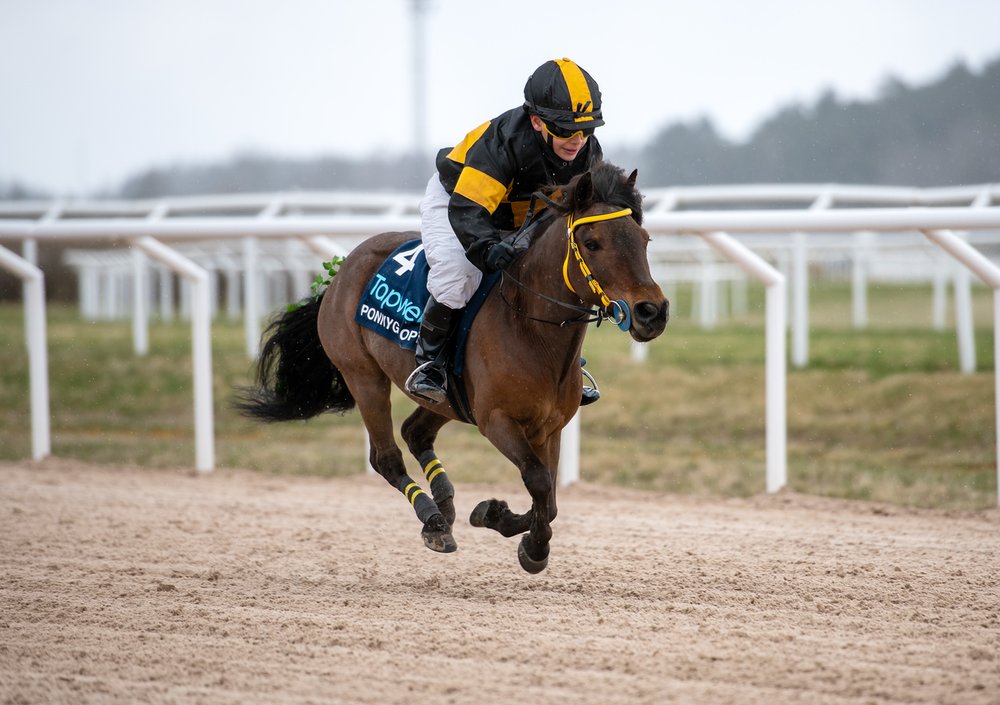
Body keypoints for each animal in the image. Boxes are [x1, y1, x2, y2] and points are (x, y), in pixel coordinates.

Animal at [237, 162, 668, 576]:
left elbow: (549, 497)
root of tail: (343, 268)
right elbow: (538, 482)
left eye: (645, 241)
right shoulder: (496, 420)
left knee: (415, 432)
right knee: (386, 457)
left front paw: (500, 518)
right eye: (592, 244)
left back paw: (444, 501)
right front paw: (528, 543)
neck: (529, 328)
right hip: (363, 376)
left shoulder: (549, 427)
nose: (653, 312)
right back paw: (432, 519)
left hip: (446, 400)